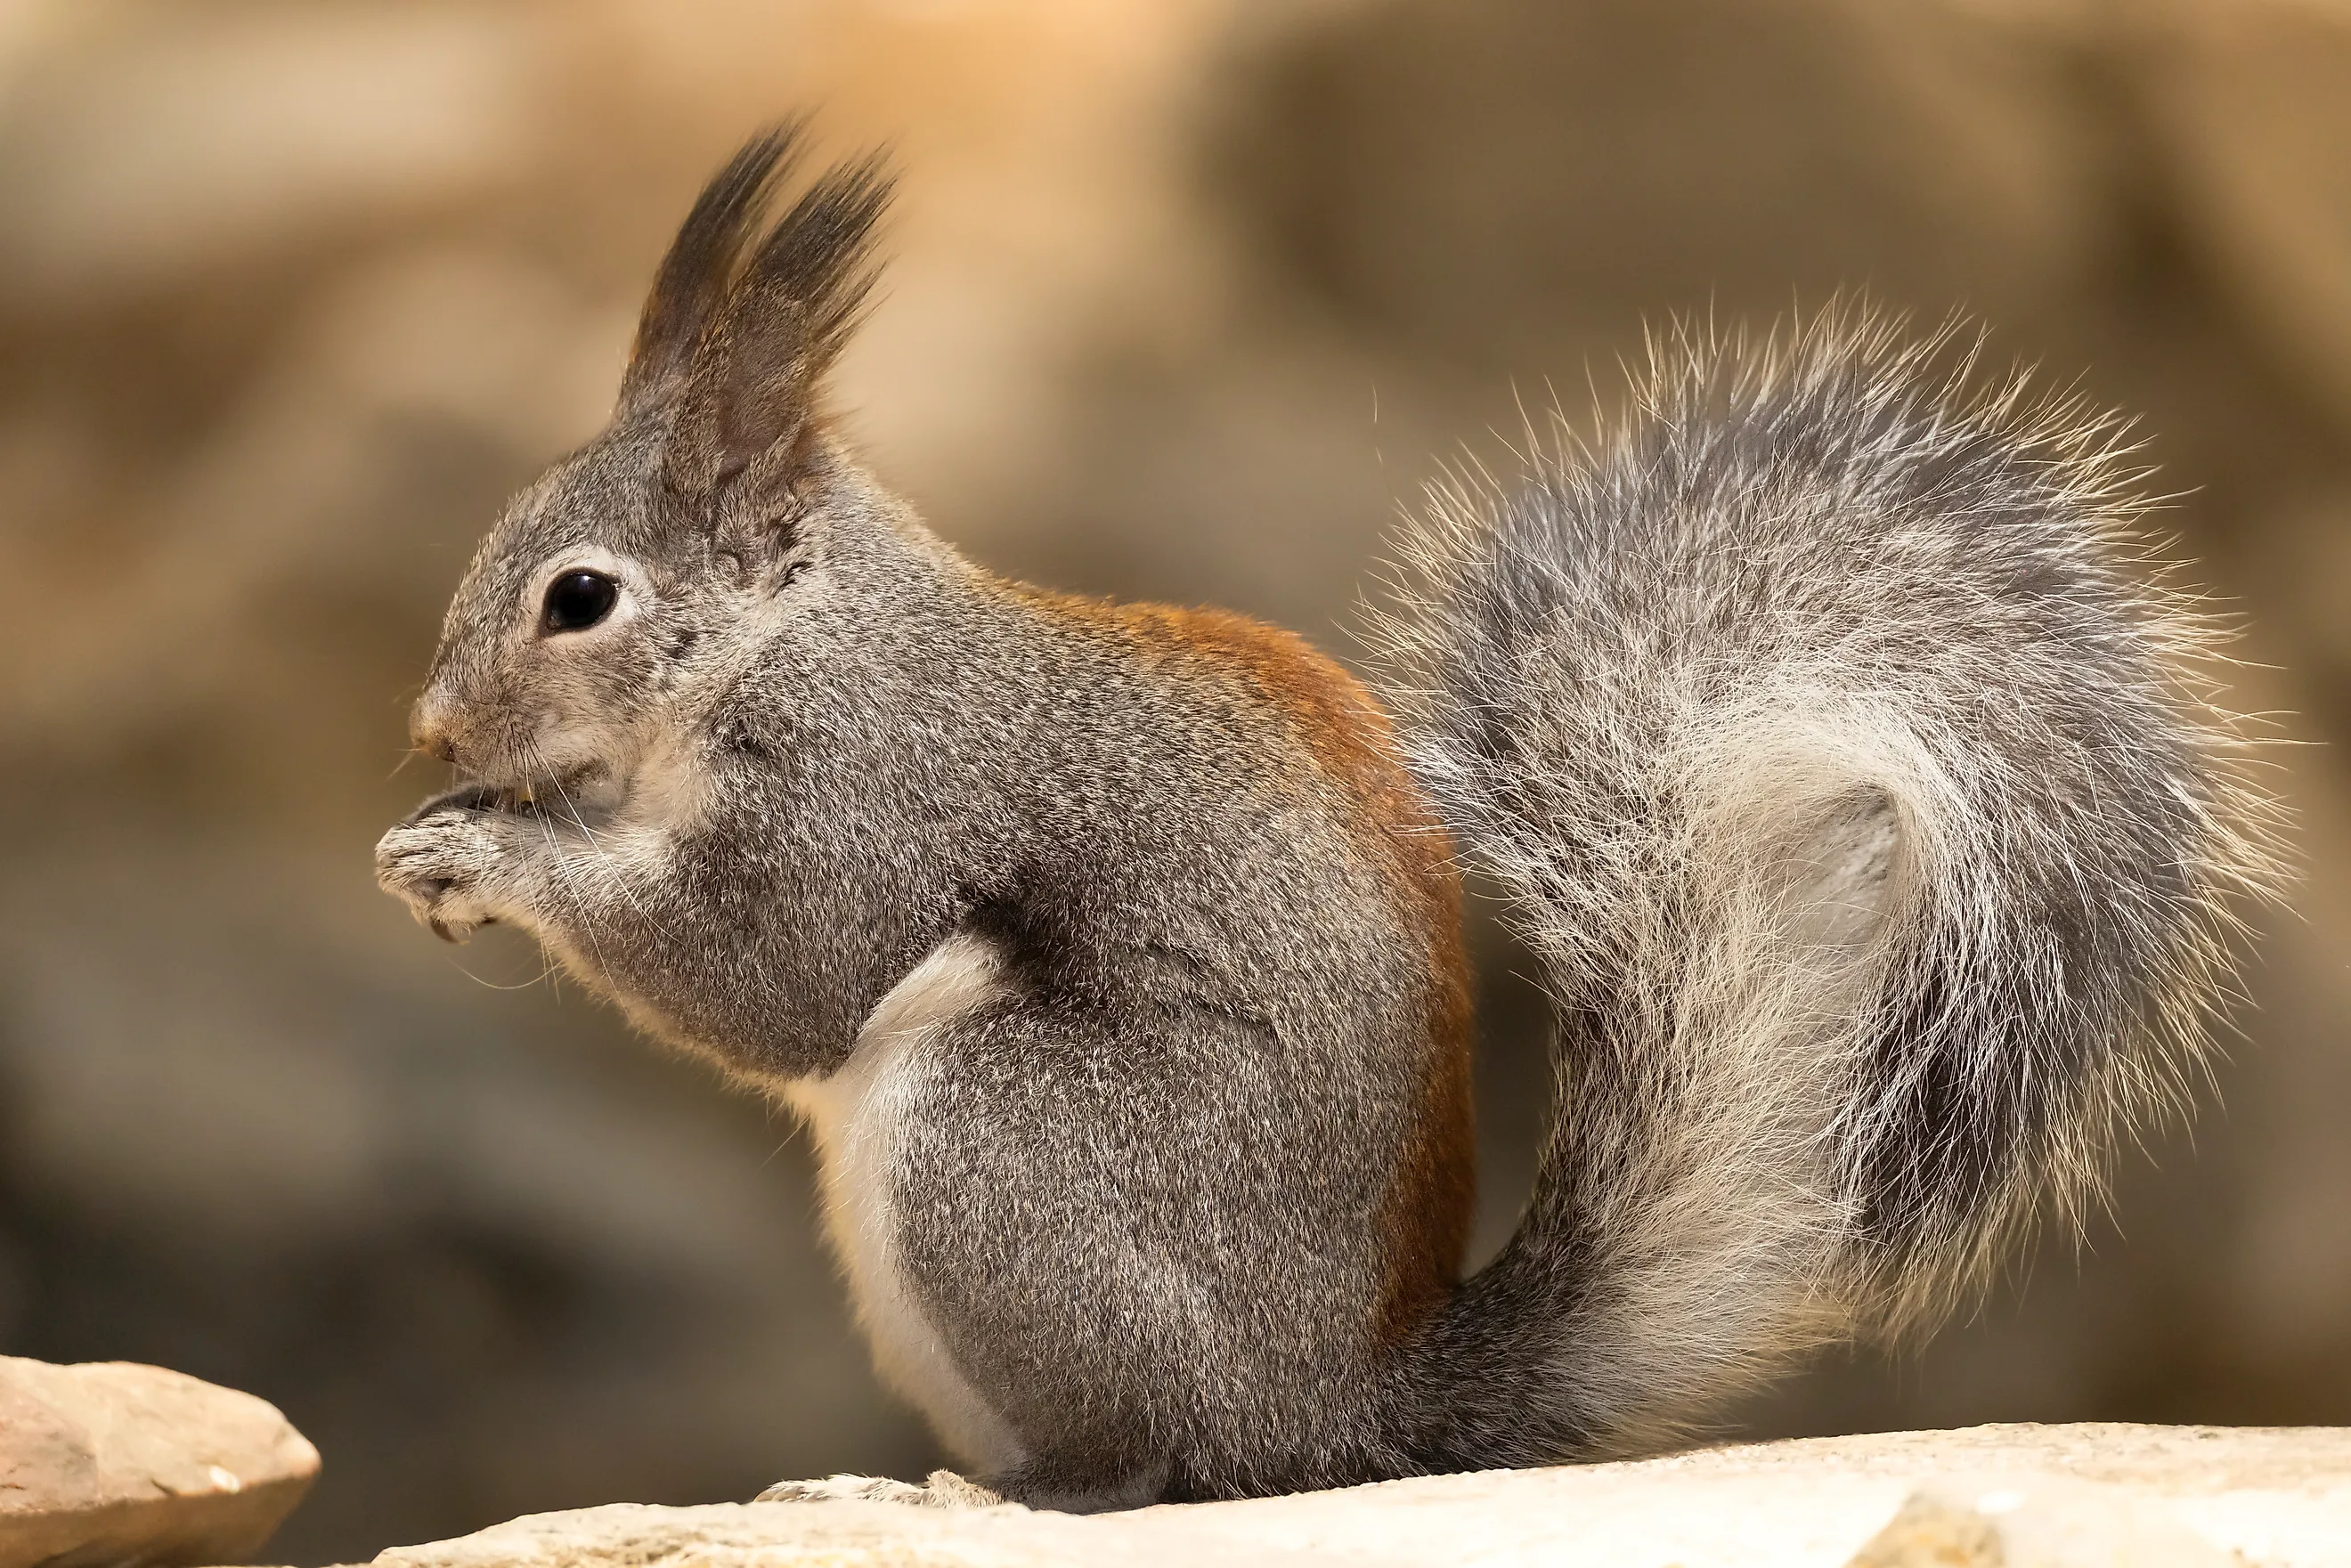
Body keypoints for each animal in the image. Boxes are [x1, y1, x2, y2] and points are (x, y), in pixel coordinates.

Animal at [375, 129, 2276, 1511]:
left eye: (579, 598)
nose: (433, 729)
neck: (791, 640)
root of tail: (1337, 1411)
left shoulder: (878, 791)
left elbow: (773, 977)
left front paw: (489, 854)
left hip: (1007, 1153)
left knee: (1163, 1468)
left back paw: (1006, 1494)